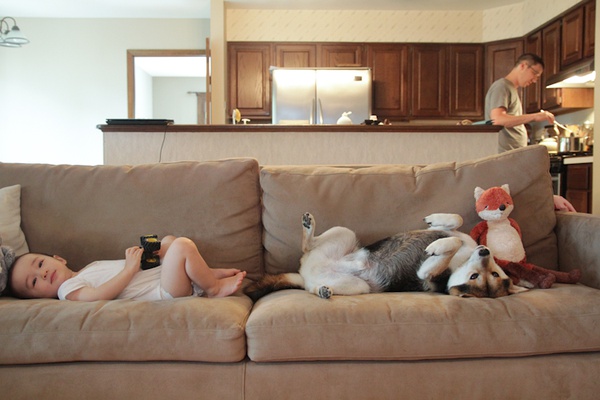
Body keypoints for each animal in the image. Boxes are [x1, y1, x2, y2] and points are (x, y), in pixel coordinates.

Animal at [244, 213, 528, 301]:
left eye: (479, 276)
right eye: (494, 271)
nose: (485, 251)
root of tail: (305, 275)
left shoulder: (426, 273)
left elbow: (450, 243)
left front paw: (437, 247)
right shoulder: (457, 233)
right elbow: (454, 223)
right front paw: (436, 221)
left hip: (357, 286)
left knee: (313, 287)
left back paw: (323, 291)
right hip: (344, 233)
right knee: (307, 246)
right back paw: (307, 227)